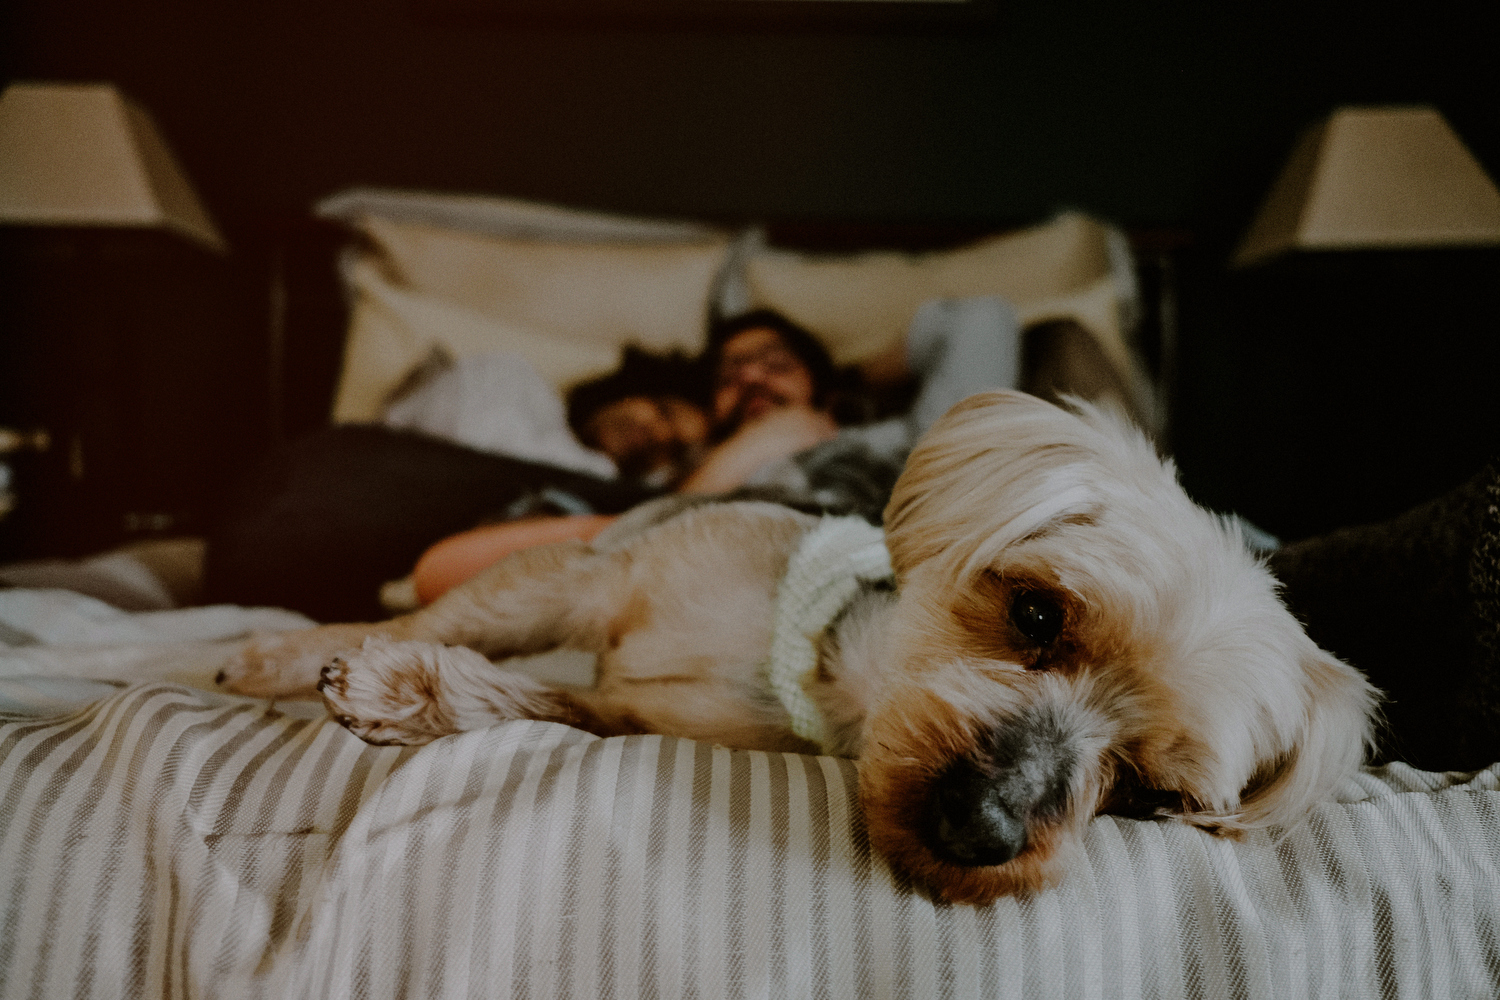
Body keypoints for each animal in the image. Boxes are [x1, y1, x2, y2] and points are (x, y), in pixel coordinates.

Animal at [217, 389, 1374, 905]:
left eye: (1147, 795)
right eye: (1038, 614)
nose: (985, 829)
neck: (816, 670)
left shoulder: (629, 712)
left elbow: (528, 699)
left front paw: (407, 691)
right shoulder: (586, 581)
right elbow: (431, 625)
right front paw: (297, 656)